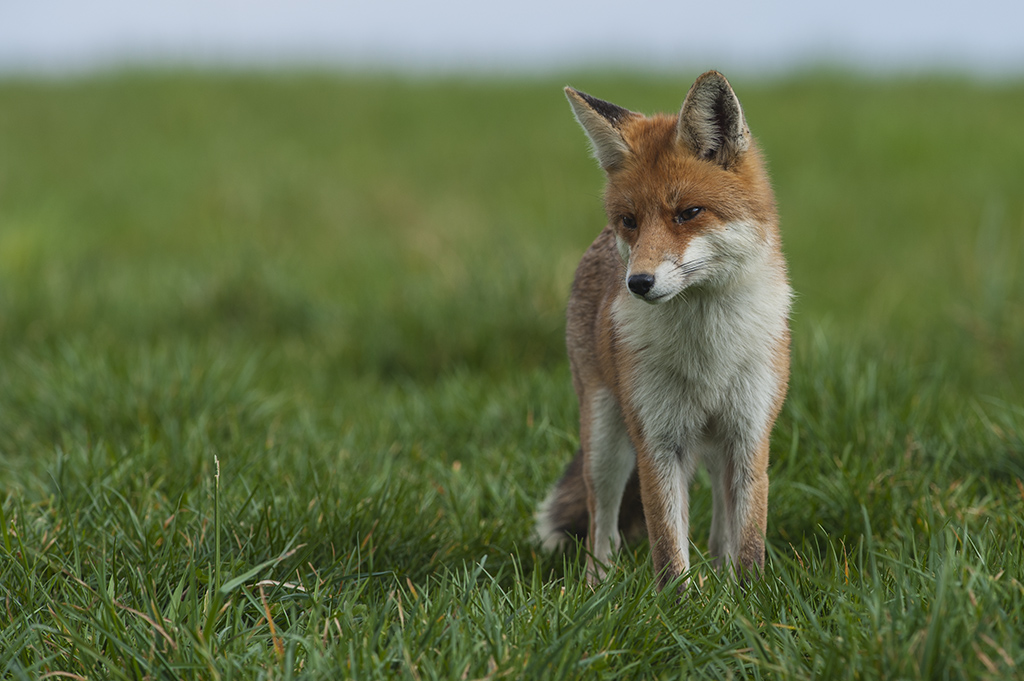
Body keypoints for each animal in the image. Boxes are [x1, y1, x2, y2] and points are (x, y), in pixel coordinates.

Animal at [535, 71, 791, 590]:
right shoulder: (658, 439)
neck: (709, 348)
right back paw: (598, 588)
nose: (638, 282)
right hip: (607, 442)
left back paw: (720, 573)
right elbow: (669, 549)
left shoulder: (750, 432)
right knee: (602, 525)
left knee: (719, 527)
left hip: (712, 447)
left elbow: (749, 537)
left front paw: (751, 598)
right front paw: (679, 603)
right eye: (630, 221)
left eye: (688, 213)